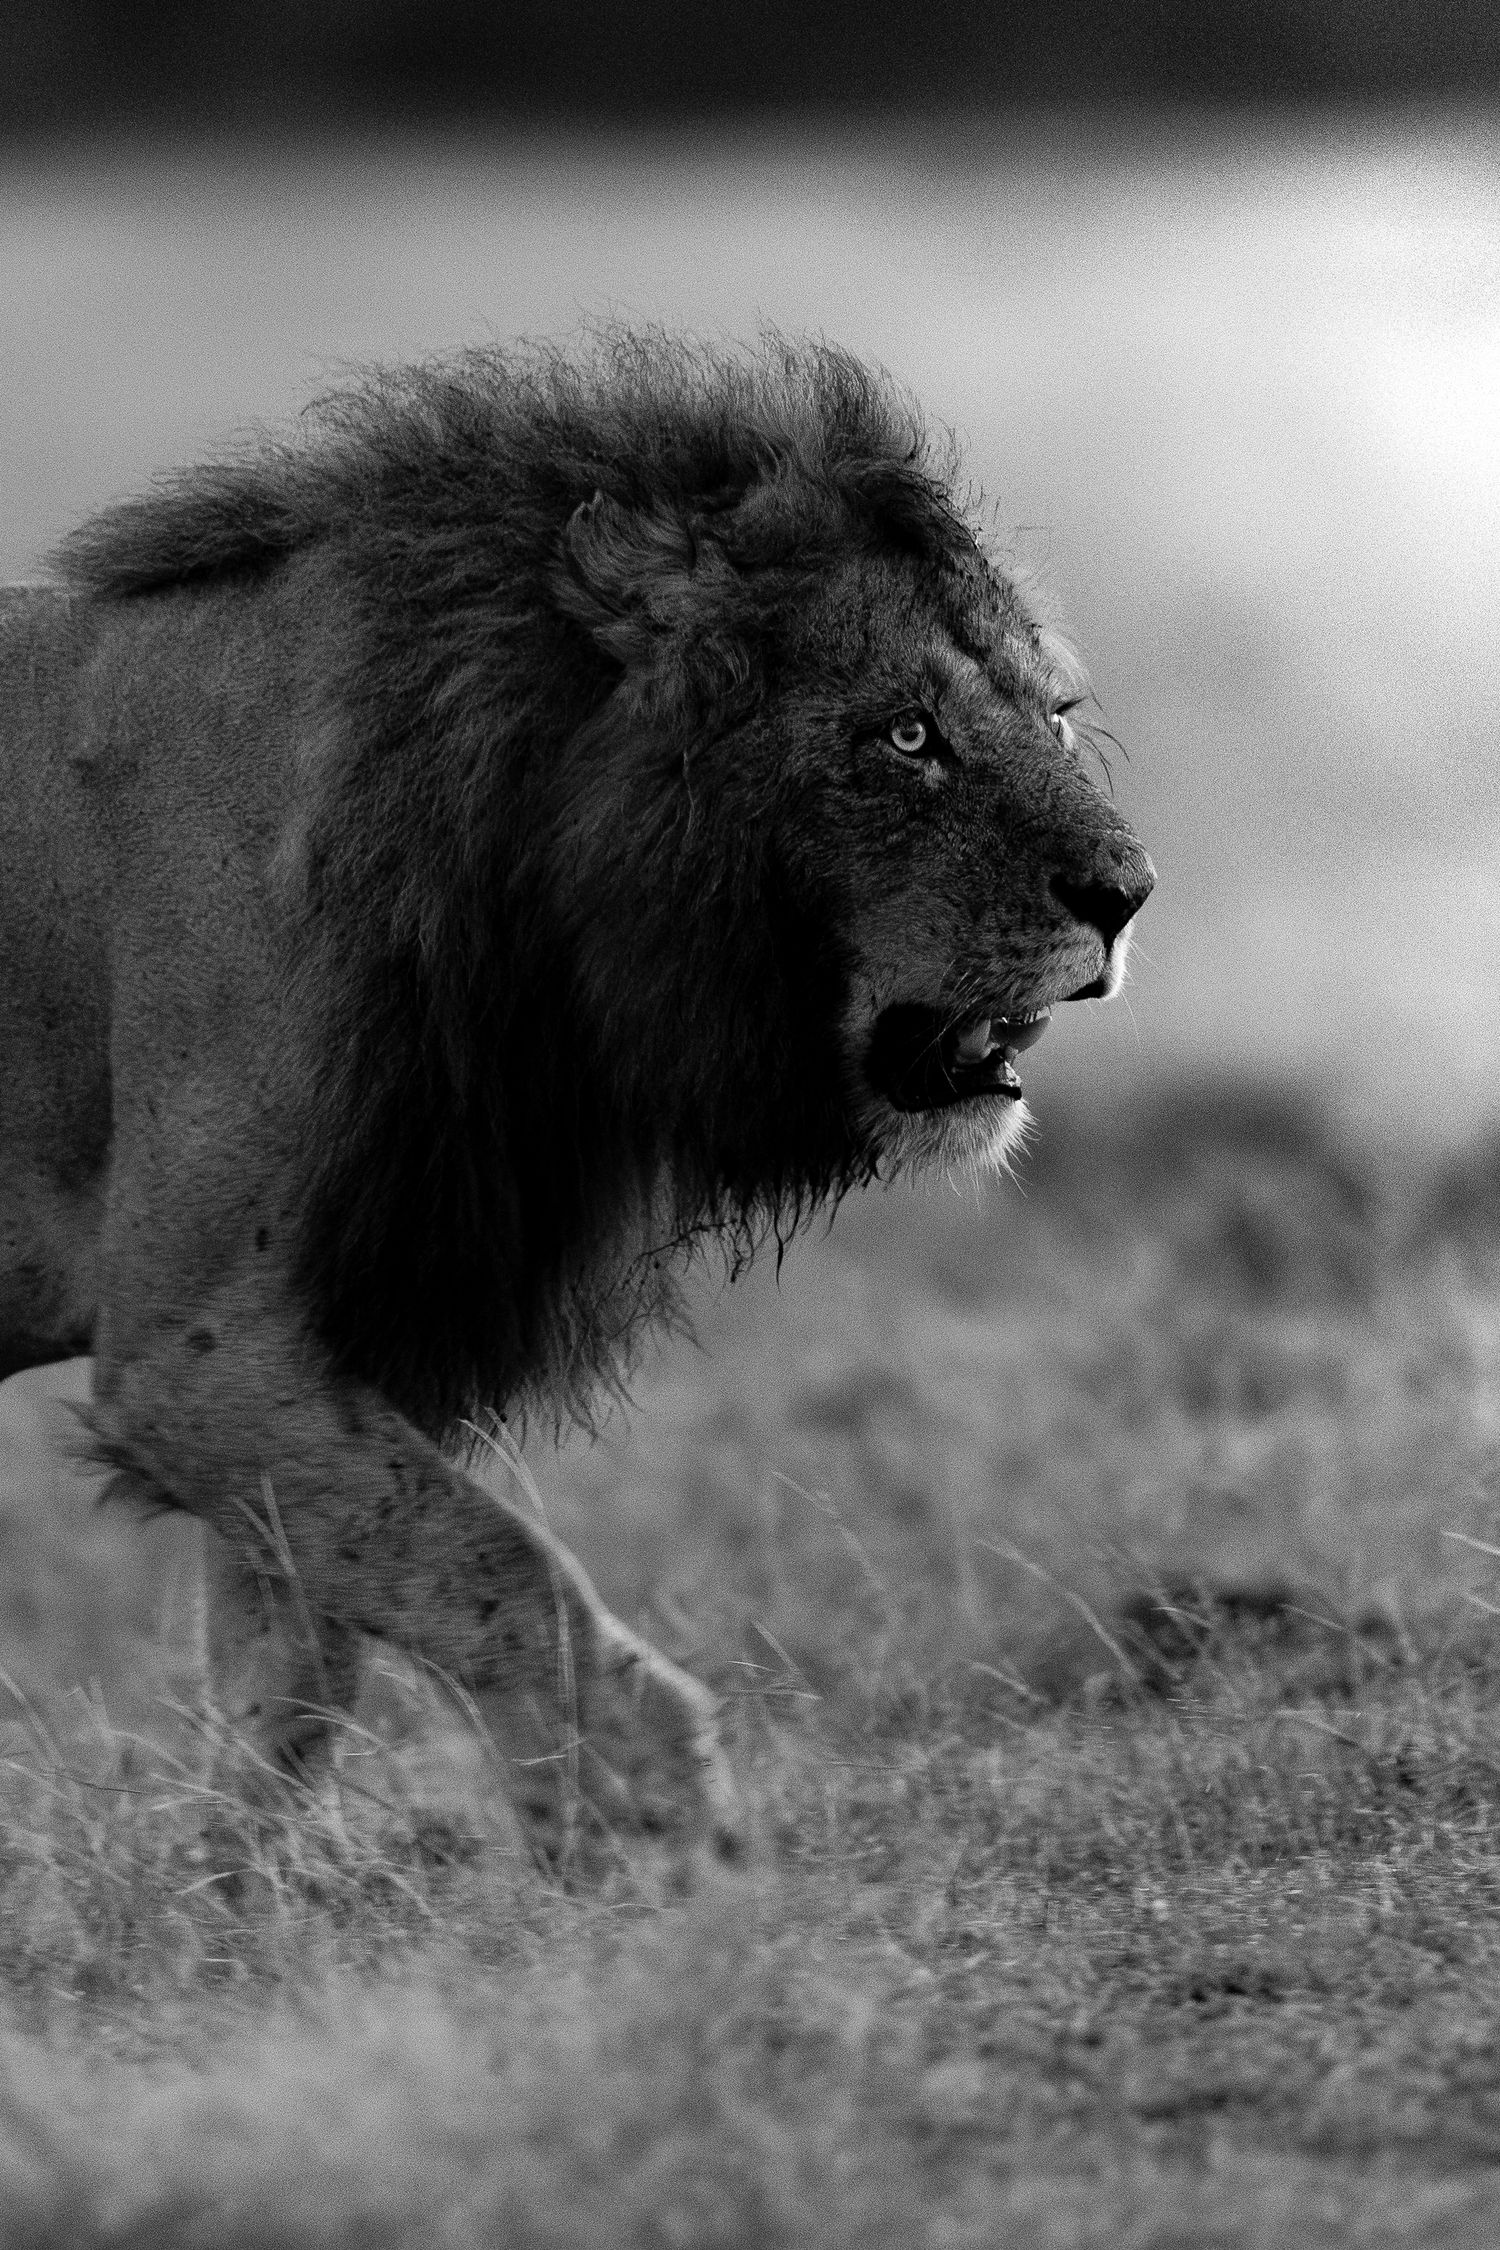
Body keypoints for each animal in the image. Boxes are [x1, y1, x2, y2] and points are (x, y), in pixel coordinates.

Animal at [0, 333, 1152, 1870]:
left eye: (1057, 716)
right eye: (906, 735)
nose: (1127, 893)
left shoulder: (333, 1321)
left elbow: (296, 1658)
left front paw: (223, 1899)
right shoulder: (191, 1349)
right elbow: (496, 1569)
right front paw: (665, 1832)